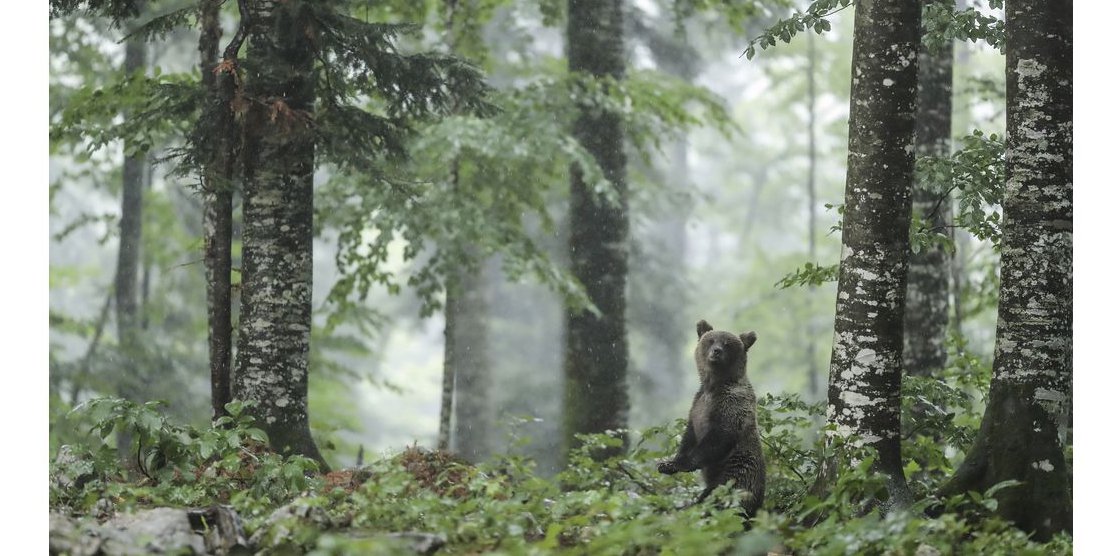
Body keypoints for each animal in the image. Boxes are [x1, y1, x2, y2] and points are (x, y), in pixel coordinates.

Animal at [658, 318, 766, 520]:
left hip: (736, 475)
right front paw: (667, 464)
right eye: (711, 340)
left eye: (727, 343)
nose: (716, 351)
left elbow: (718, 438)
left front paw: (680, 464)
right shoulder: (697, 405)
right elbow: (689, 435)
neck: (714, 386)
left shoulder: (731, 404)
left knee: (717, 500)